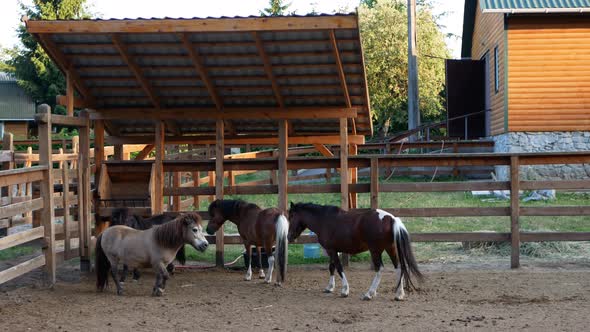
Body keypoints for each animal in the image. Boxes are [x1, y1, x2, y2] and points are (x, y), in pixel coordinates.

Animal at [288, 202, 424, 300]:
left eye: (291, 216)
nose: (289, 237)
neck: (324, 220)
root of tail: (390, 218)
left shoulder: (332, 251)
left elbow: (339, 268)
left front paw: (345, 290)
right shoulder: (333, 251)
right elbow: (331, 267)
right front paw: (330, 287)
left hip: (375, 251)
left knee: (379, 269)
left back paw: (369, 294)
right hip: (390, 248)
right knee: (398, 267)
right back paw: (399, 294)